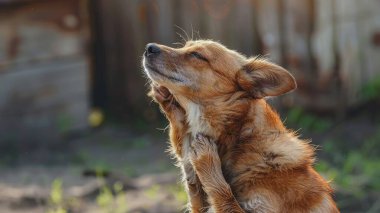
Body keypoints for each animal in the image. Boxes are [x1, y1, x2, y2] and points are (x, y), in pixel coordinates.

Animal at [144, 40, 340, 213]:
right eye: (184, 46)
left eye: (197, 55)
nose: (149, 47)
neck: (239, 139)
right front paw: (169, 104)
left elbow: (223, 193)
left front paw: (206, 160)